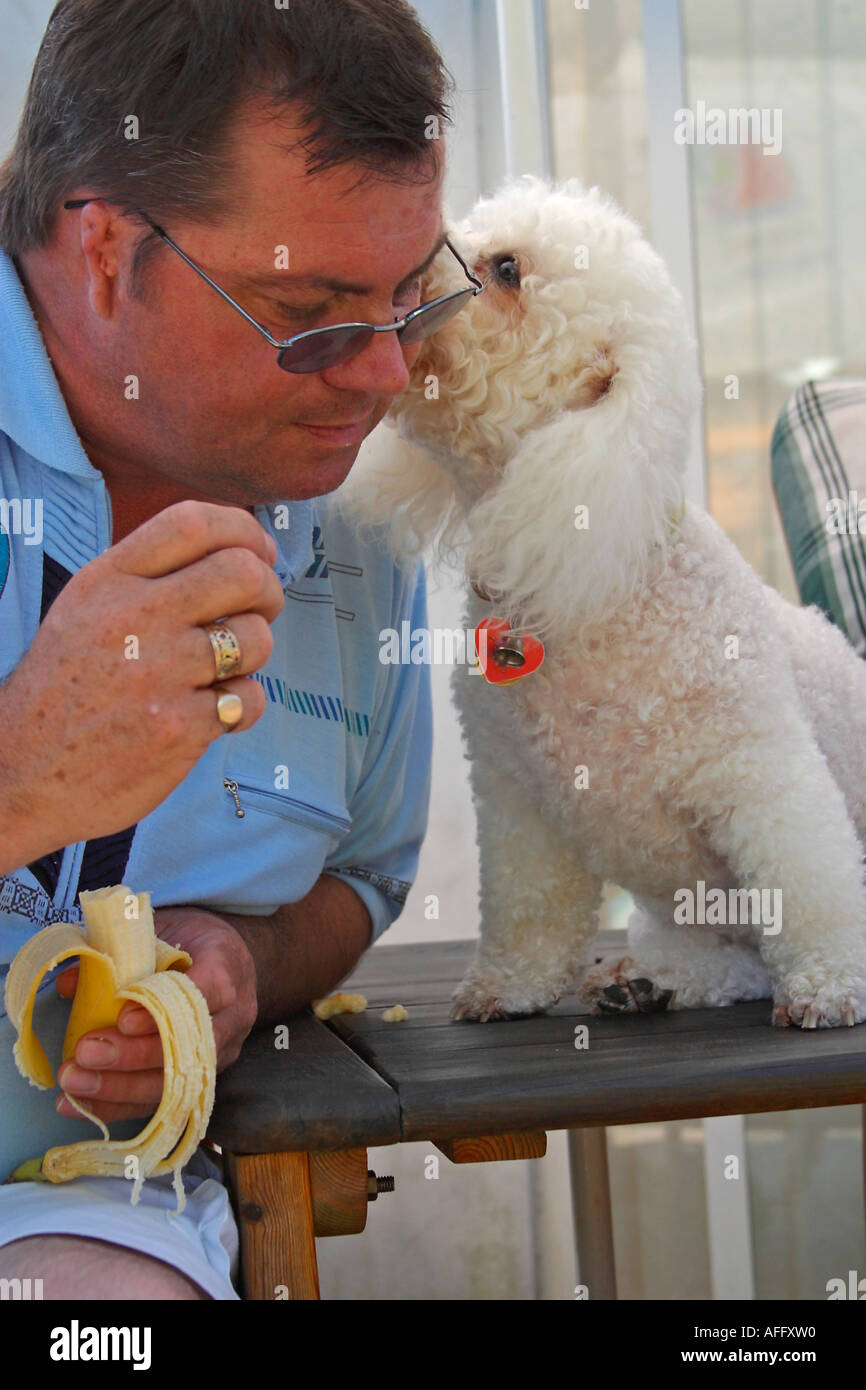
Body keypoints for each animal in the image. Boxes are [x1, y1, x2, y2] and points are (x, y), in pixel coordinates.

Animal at [335, 173, 866, 1028]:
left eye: (508, 270)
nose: (403, 271)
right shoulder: (516, 800)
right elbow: (528, 908)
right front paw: (510, 986)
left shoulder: (763, 776)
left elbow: (811, 886)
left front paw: (829, 984)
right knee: (728, 963)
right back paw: (647, 980)